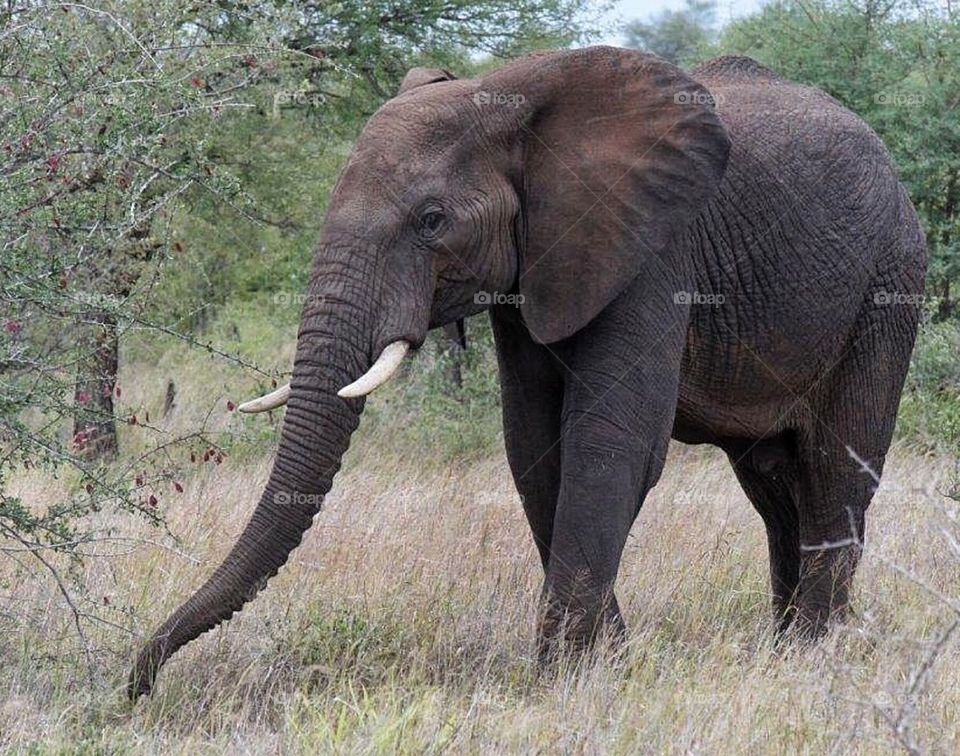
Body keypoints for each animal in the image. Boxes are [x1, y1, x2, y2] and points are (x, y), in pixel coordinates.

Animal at [128, 46, 926, 698]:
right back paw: (788, 649)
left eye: (431, 221)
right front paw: (606, 666)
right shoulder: (530, 272)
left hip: (888, 284)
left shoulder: (652, 250)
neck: (511, 101)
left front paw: (559, 683)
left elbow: (610, 446)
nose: (140, 681)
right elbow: (535, 450)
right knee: (774, 484)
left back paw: (817, 658)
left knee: (835, 470)